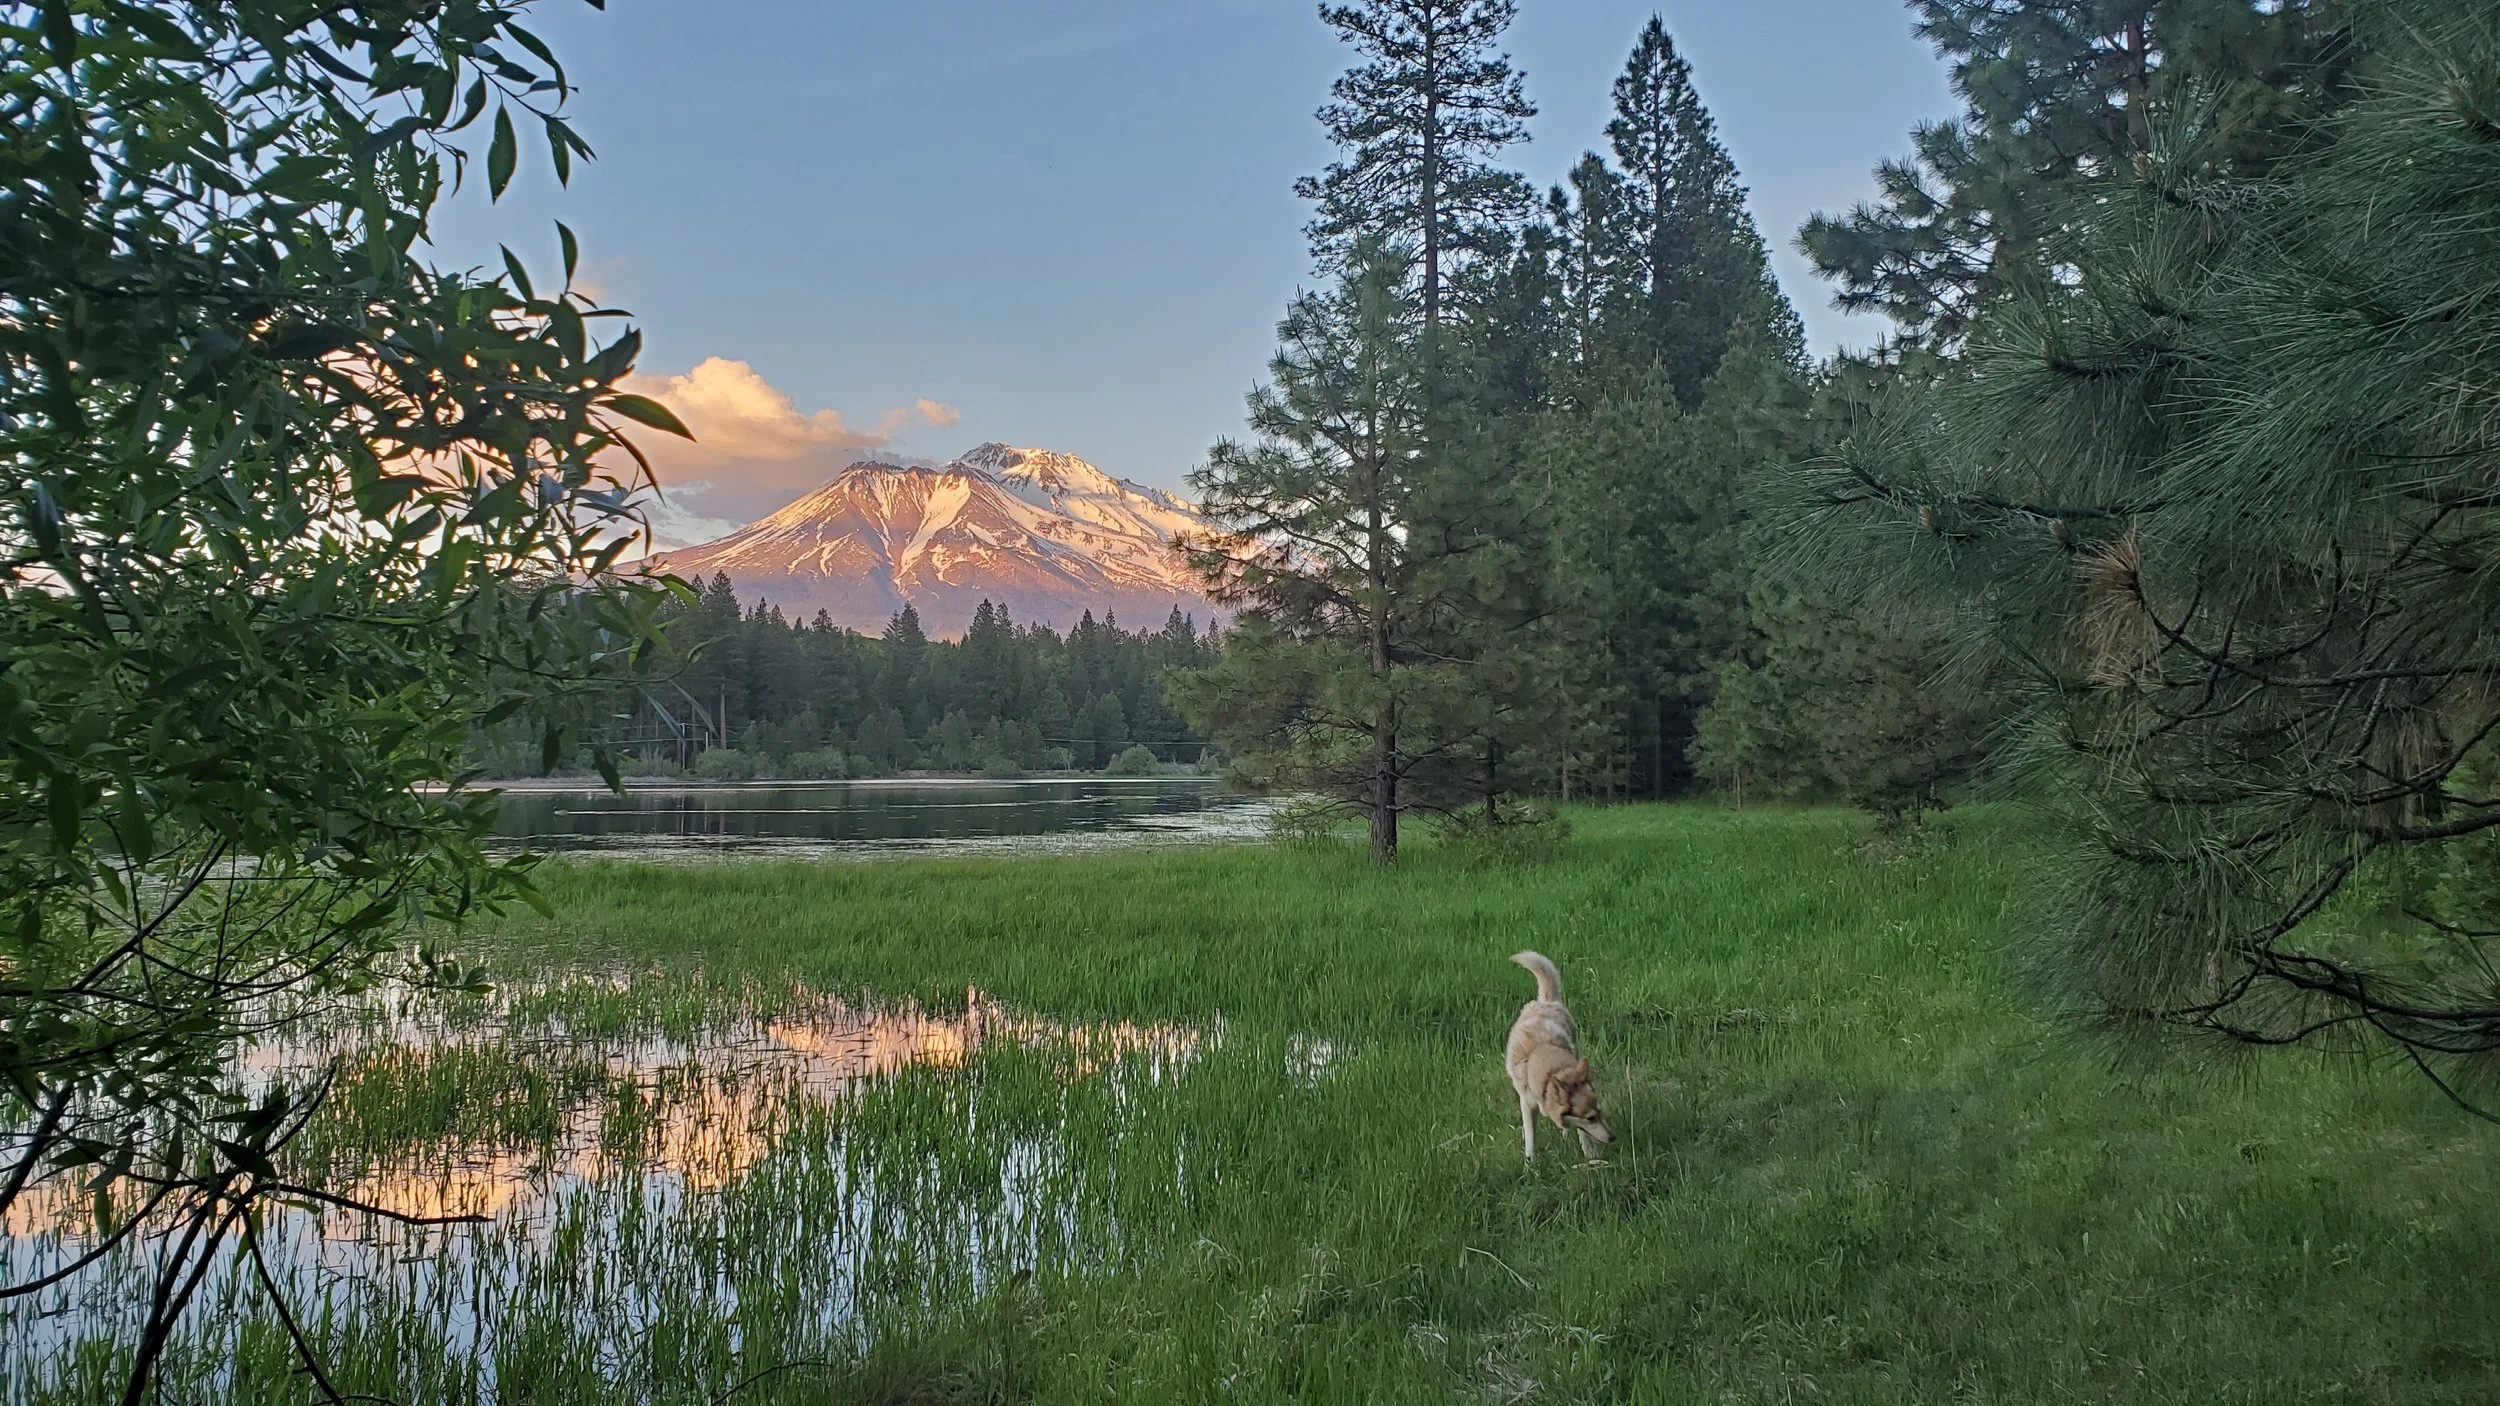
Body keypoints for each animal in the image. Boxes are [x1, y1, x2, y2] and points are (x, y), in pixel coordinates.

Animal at [1505, 950, 1613, 1161]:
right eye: (1591, 1117)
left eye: (1600, 1111)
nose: (1613, 1137)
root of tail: (1546, 1000)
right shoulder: (1527, 1104)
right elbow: (1530, 1137)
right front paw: (1531, 1163)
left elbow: (1582, 1133)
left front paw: (1590, 1155)